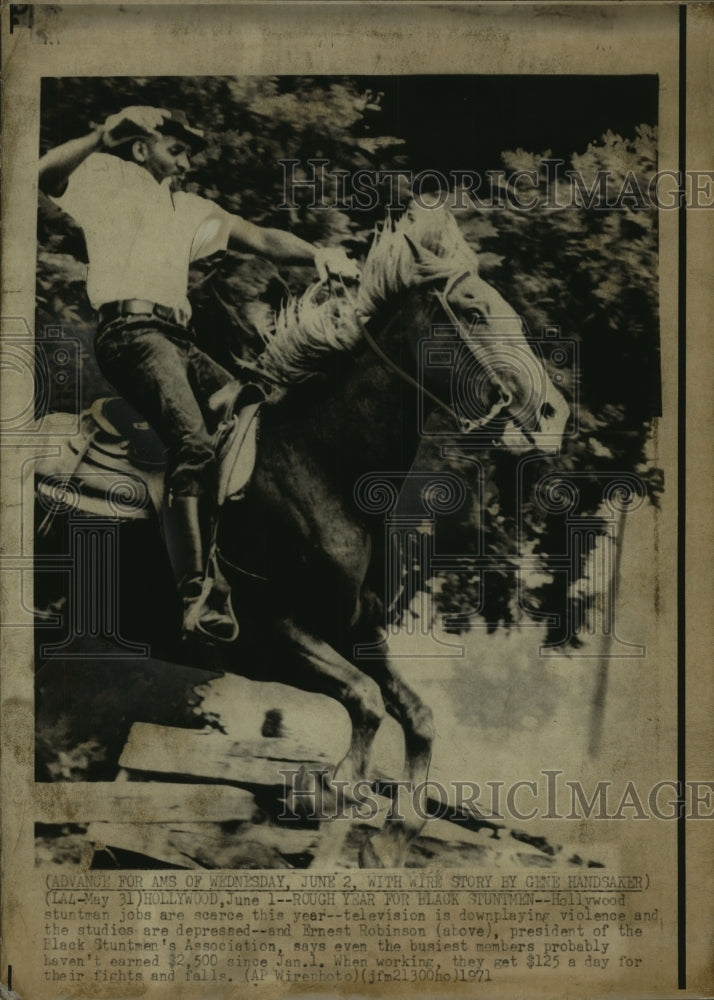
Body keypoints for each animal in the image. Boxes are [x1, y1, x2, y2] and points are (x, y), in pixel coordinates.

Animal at [211, 203, 568, 868]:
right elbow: (365, 720)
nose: (553, 415)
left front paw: (389, 840)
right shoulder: (268, 631)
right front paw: (333, 822)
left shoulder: (357, 633)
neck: (318, 466)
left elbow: (417, 716)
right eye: (474, 311)